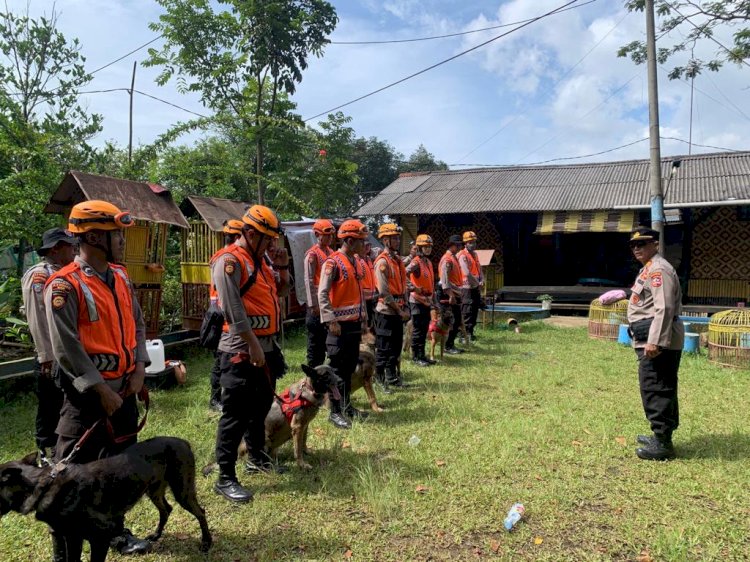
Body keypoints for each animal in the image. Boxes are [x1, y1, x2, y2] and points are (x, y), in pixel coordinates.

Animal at [0, 436, 212, 560]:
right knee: (166, 509)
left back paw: (206, 543)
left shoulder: (99, 539)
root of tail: (183, 442)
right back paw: (156, 535)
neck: (42, 486)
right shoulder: (73, 538)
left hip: (182, 490)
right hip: (153, 490)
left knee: (200, 512)